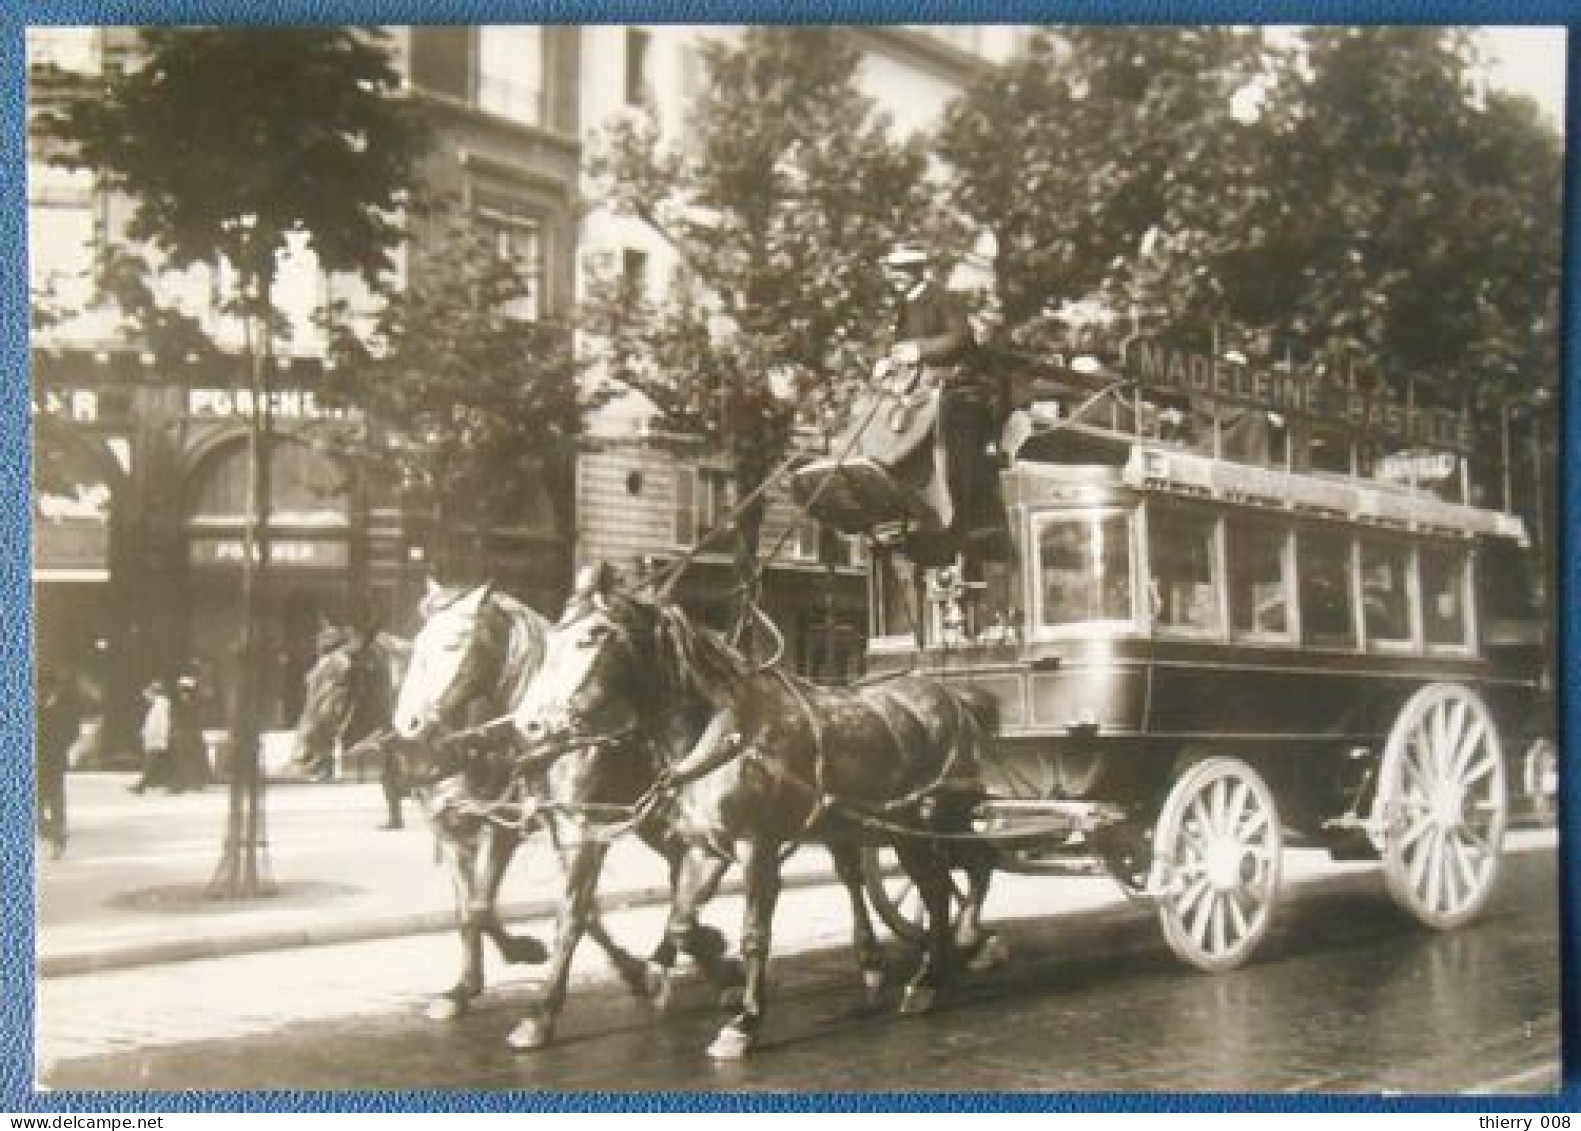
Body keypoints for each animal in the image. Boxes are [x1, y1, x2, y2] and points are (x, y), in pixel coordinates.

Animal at [512, 575, 992, 1062]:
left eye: (592, 636)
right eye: (550, 640)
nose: (531, 725)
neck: (723, 732)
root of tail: (951, 698)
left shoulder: (755, 846)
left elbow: (754, 934)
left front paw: (744, 1021)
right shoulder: (702, 846)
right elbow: (679, 922)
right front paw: (692, 969)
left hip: (930, 823)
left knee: (956, 878)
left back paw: (946, 961)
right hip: (880, 828)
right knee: (932, 883)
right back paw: (930, 967)